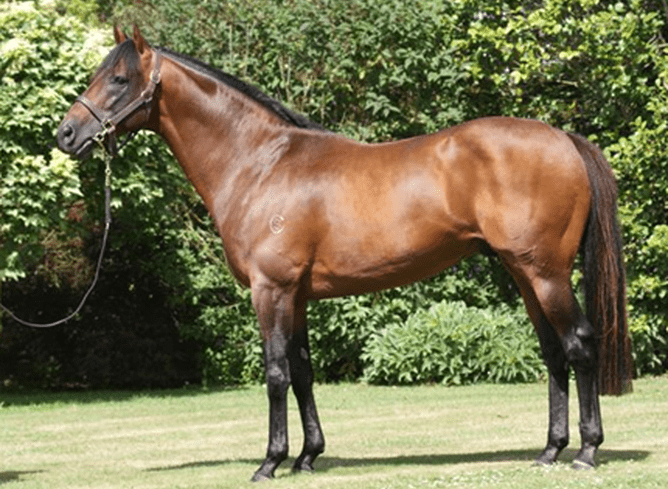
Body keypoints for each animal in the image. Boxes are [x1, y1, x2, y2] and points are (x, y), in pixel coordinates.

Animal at [57, 26, 632, 481]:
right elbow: (303, 372)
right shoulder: (298, 296)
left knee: (579, 345)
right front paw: (308, 457)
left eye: (119, 79)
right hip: (524, 274)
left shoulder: (271, 290)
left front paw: (270, 462)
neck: (259, 164)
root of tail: (562, 138)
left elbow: (275, 373)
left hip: (546, 273)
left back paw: (585, 451)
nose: (67, 134)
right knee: (554, 353)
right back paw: (550, 451)